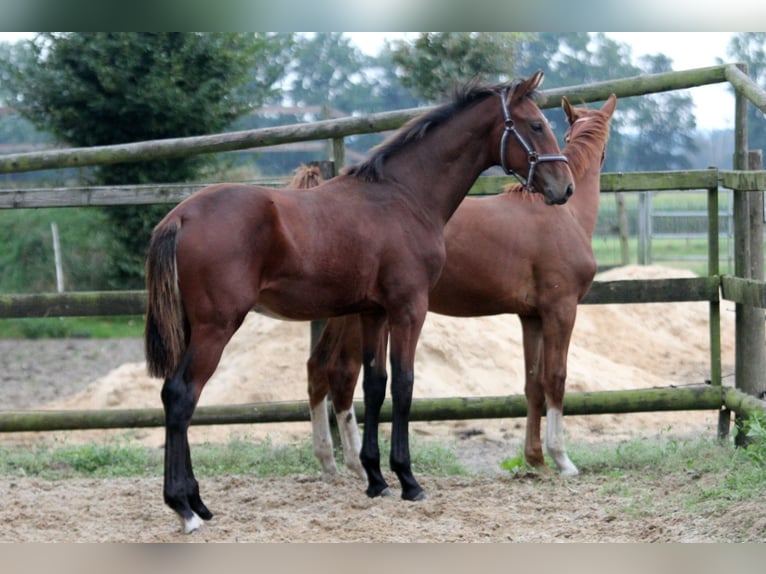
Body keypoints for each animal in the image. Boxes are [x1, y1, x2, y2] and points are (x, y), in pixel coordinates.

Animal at [146, 72, 576, 536]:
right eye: (535, 125)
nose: (564, 187)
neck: (404, 195)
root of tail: (181, 216)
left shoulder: (374, 313)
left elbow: (373, 384)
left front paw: (376, 479)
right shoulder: (409, 309)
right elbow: (403, 384)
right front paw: (408, 480)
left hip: (195, 328)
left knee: (177, 397)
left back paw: (197, 503)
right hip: (217, 327)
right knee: (182, 396)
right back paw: (186, 509)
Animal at [306, 94, 616, 482]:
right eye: (538, 126)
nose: (566, 188)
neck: (566, 216)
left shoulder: (531, 316)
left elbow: (533, 384)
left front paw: (535, 460)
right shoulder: (561, 309)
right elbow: (556, 378)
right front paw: (562, 459)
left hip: (344, 313)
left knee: (319, 369)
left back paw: (331, 461)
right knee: (342, 373)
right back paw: (356, 464)